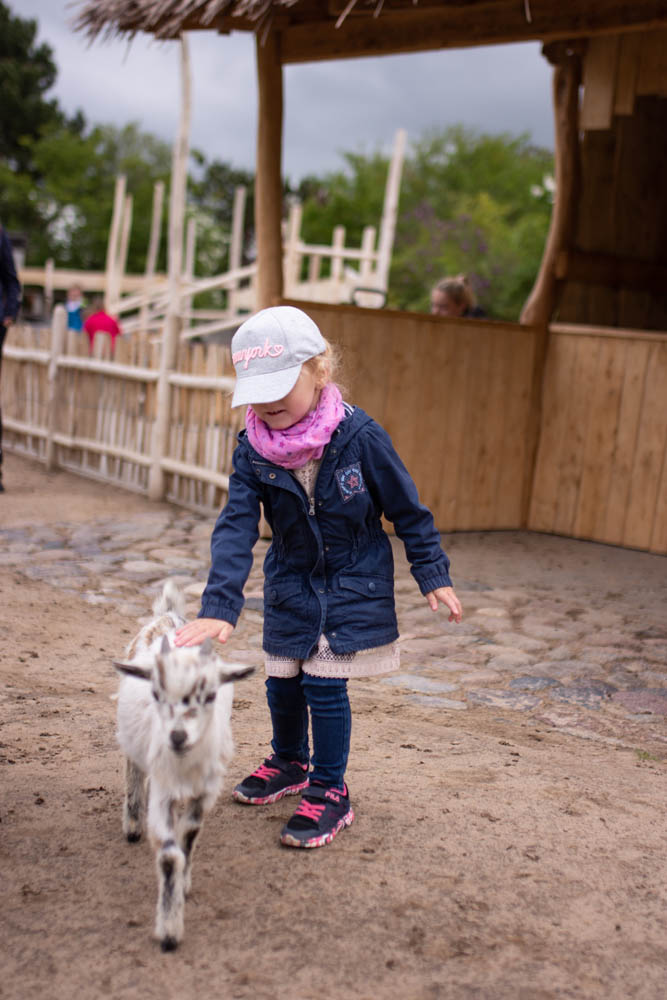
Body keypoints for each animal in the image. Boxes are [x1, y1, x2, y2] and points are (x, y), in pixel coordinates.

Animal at [114, 584, 253, 948]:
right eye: (156, 694)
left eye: (210, 696)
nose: (177, 736)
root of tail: (168, 616)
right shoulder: (163, 792)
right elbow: (168, 854)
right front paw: (169, 929)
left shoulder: (204, 791)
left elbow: (188, 836)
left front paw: (184, 885)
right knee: (134, 772)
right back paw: (132, 824)